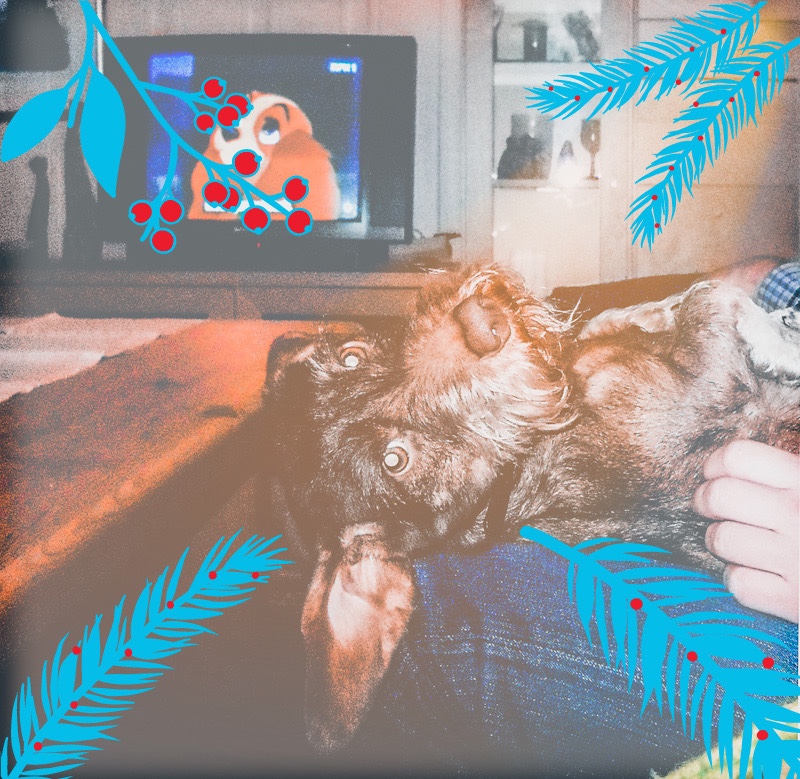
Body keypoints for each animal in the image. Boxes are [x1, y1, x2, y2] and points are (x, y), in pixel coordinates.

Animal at [262, 265, 800, 752]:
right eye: (395, 460)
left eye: (352, 357)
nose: (483, 320)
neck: (516, 462)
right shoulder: (710, 382)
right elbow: (714, 296)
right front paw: (777, 340)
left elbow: (618, 318)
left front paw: (649, 313)